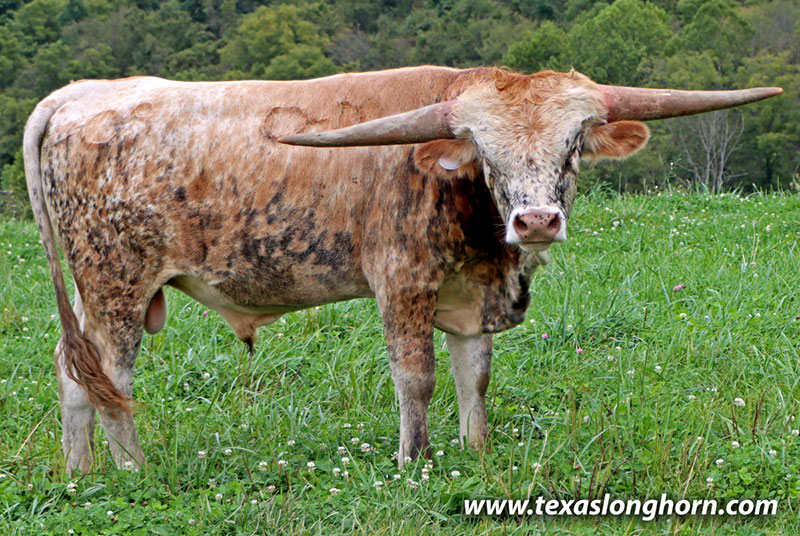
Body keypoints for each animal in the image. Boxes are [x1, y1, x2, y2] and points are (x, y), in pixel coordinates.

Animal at [23, 66, 780, 474]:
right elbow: (416, 378)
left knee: (72, 369)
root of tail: (75, 95)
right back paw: (133, 470)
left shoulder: (472, 296)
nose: (536, 221)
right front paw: (413, 460)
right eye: (485, 150)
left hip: (93, 292)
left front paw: (477, 452)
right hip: (117, 282)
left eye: (573, 145)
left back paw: (81, 473)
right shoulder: (402, 283)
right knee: (113, 378)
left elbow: (475, 375)